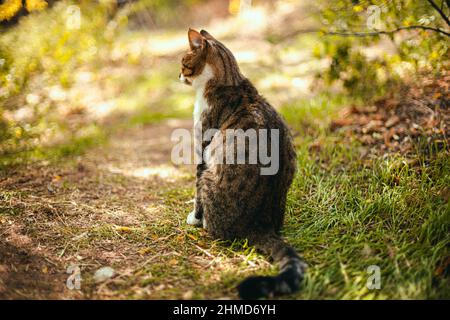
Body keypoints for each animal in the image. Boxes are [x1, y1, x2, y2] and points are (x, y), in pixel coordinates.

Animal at [178, 28, 308, 298]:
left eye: (183, 62)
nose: (178, 74)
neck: (228, 80)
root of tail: (260, 224)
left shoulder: (203, 151)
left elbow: (196, 194)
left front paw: (194, 218)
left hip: (210, 176)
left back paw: (205, 224)